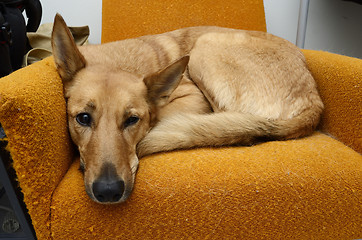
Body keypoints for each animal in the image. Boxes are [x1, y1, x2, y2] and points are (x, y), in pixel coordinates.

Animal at [50, 14, 322, 203]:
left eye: (132, 120)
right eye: (83, 118)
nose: (108, 192)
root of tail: (314, 100)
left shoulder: (194, 98)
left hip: (206, 45)